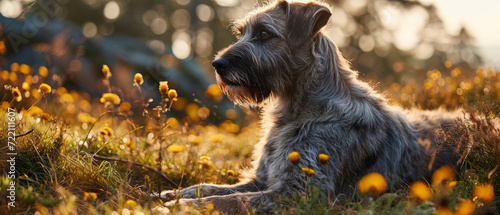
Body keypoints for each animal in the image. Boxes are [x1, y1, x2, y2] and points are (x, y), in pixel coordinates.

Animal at [159, 0, 460, 212]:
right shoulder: (261, 179)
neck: (300, 108)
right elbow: (214, 188)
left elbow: (232, 201)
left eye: (264, 33)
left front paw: (181, 206)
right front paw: (176, 193)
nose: (217, 64)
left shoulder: (299, 191)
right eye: (242, 32)